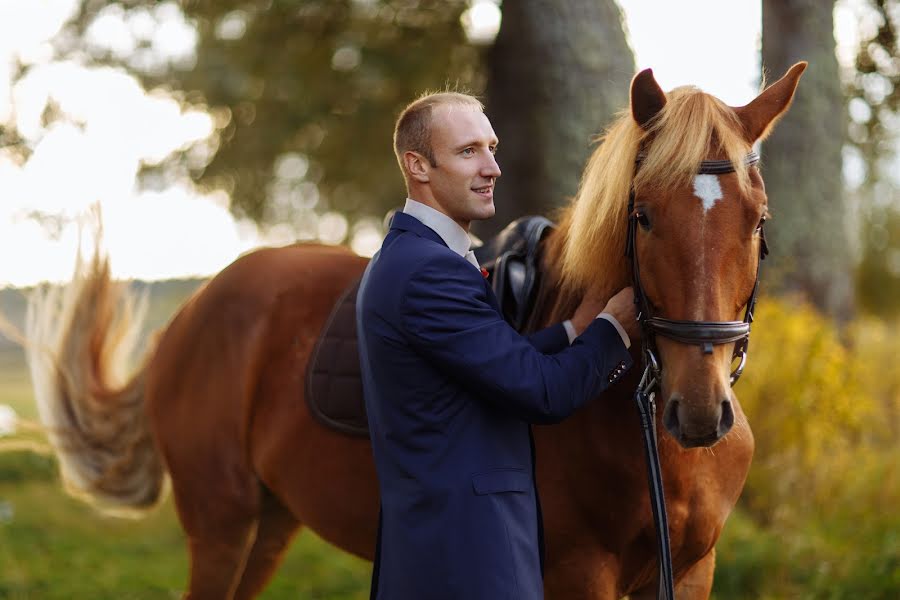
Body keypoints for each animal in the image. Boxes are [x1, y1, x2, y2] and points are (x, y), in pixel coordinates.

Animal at [24, 63, 804, 596]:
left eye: (757, 222)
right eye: (642, 215)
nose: (698, 409)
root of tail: (192, 314)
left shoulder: (691, 571)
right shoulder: (583, 571)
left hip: (269, 524)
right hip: (220, 523)